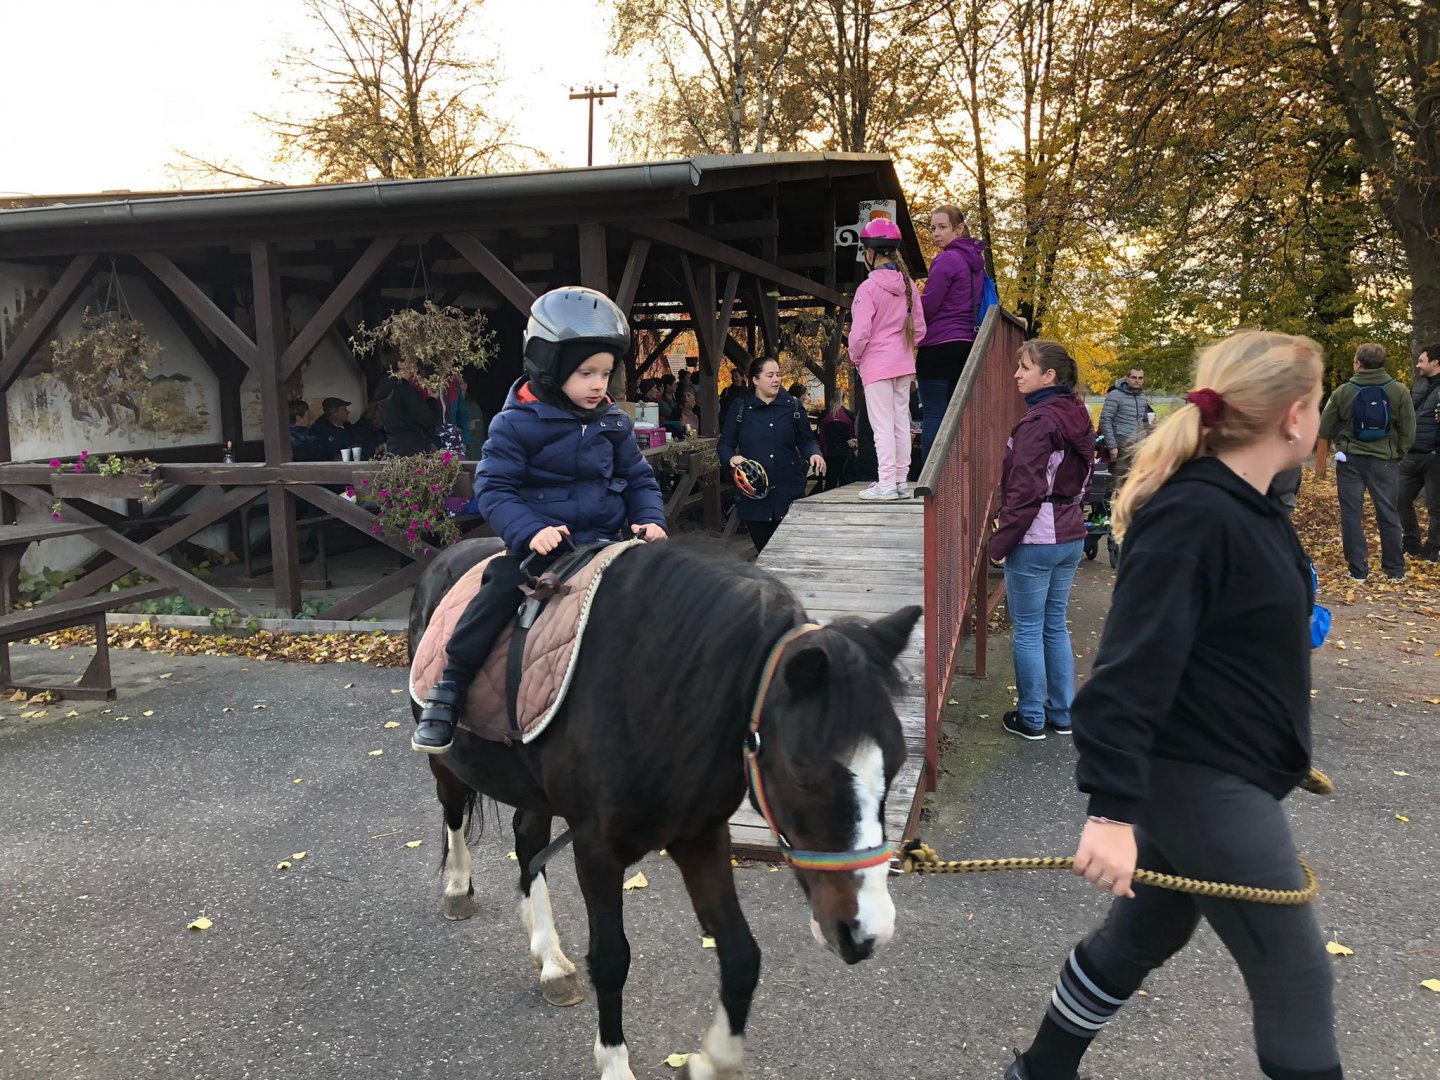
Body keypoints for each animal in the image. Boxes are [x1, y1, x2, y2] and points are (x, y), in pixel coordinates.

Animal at [409, 536, 921, 1080]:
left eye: (897, 762)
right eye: (803, 773)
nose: (868, 933)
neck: (655, 690)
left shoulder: (700, 836)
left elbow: (741, 954)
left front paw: (709, 1061)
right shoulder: (596, 848)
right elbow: (611, 959)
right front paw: (615, 1065)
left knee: (527, 839)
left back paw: (549, 960)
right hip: (447, 762)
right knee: (455, 813)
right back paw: (458, 891)